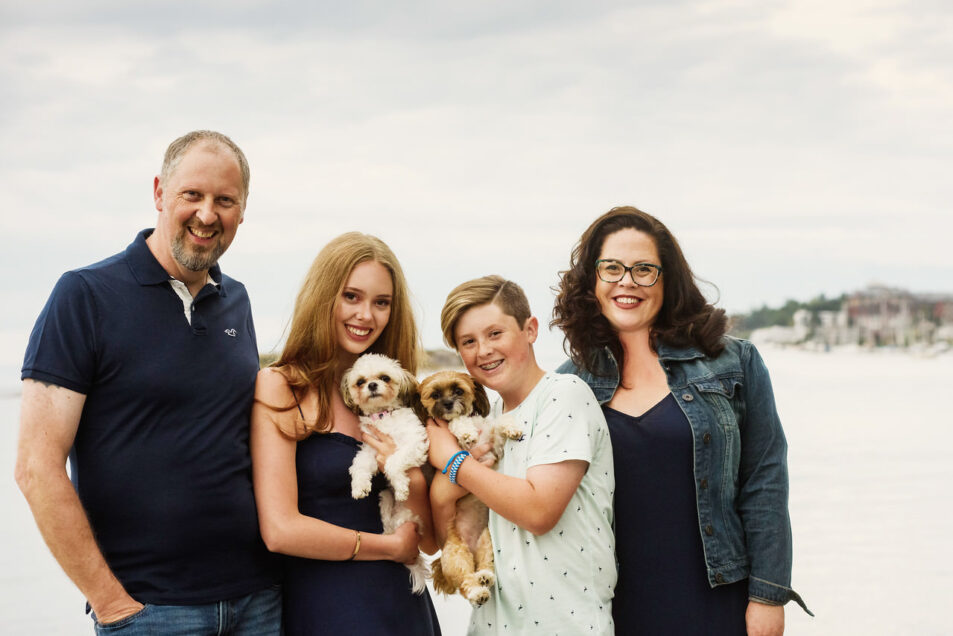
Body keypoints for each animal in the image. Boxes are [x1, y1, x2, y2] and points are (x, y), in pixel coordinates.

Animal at [340, 350, 430, 592]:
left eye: (384, 377)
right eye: (360, 381)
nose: (372, 385)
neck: (383, 416)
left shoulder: (414, 444)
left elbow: (392, 462)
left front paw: (402, 487)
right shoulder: (370, 450)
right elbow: (359, 465)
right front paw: (359, 487)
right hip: (385, 499)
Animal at [416, 372, 520, 608]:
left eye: (458, 390)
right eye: (435, 395)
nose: (448, 403)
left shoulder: (494, 448)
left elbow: (498, 424)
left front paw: (511, 427)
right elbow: (457, 422)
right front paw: (466, 431)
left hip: (487, 544)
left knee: (485, 566)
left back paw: (485, 577)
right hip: (457, 555)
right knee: (465, 582)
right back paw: (477, 592)